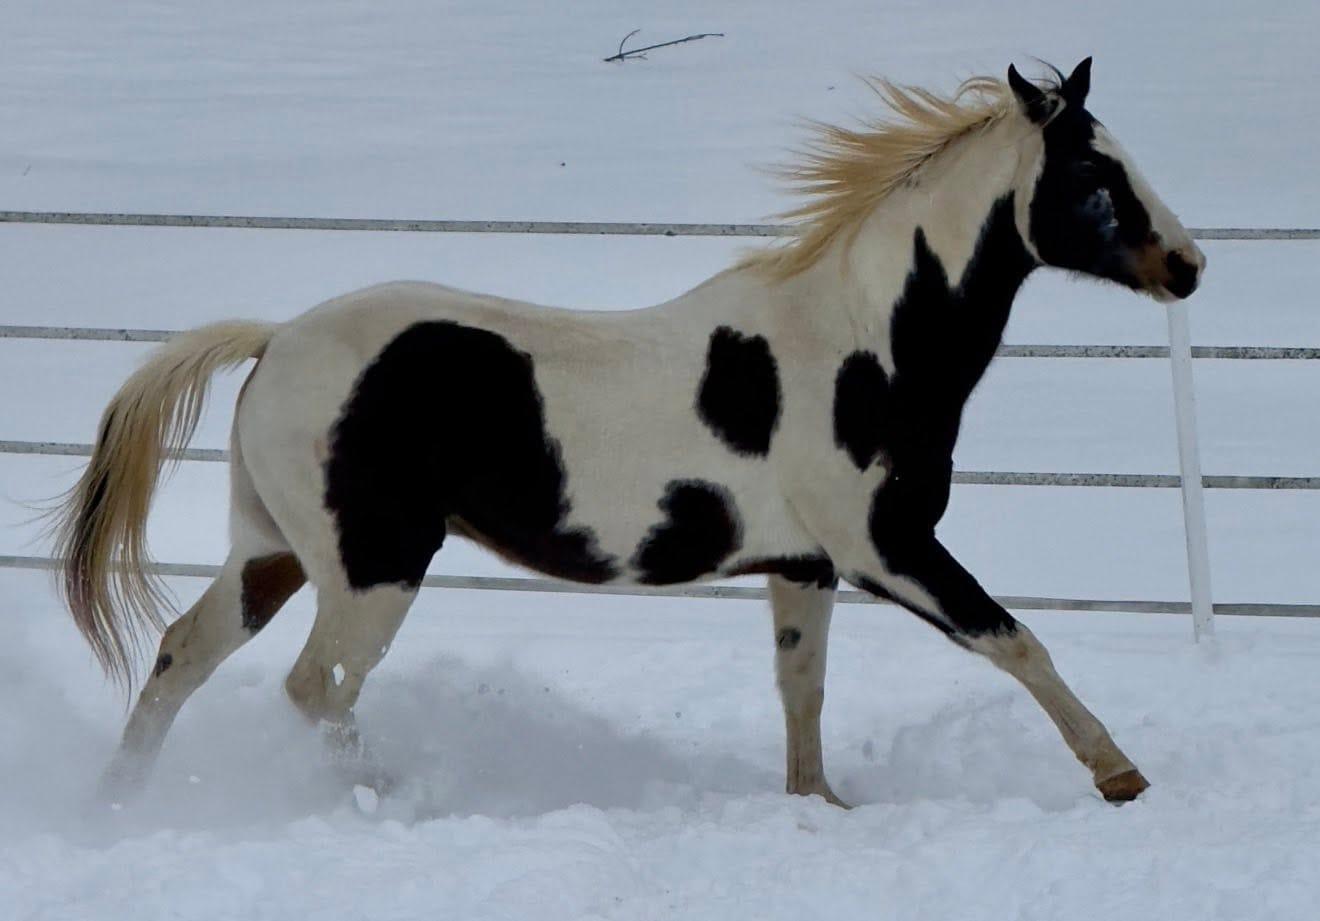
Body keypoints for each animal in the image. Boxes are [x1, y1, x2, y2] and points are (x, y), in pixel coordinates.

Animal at [55, 58, 1203, 806]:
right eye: (1094, 176)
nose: (1188, 265)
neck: (863, 344)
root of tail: (277, 339)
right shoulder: (889, 548)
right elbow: (1015, 638)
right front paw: (1122, 776)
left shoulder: (806, 565)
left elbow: (802, 691)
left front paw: (819, 807)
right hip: (373, 568)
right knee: (316, 686)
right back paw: (382, 791)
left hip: (274, 551)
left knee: (182, 654)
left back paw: (118, 802)